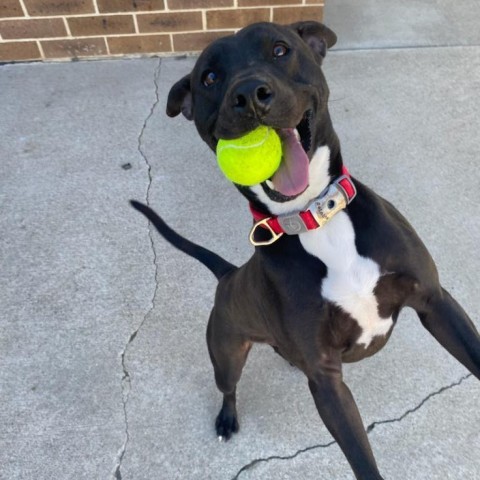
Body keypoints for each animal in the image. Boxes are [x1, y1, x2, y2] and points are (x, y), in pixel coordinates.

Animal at [129, 21, 478, 480]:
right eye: (209, 77)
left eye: (280, 49)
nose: (249, 94)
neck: (316, 217)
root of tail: (229, 275)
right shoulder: (326, 377)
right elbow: (361, 459)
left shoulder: (435, 302)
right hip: (225, 352)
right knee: (228, 387)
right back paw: (227, 417)